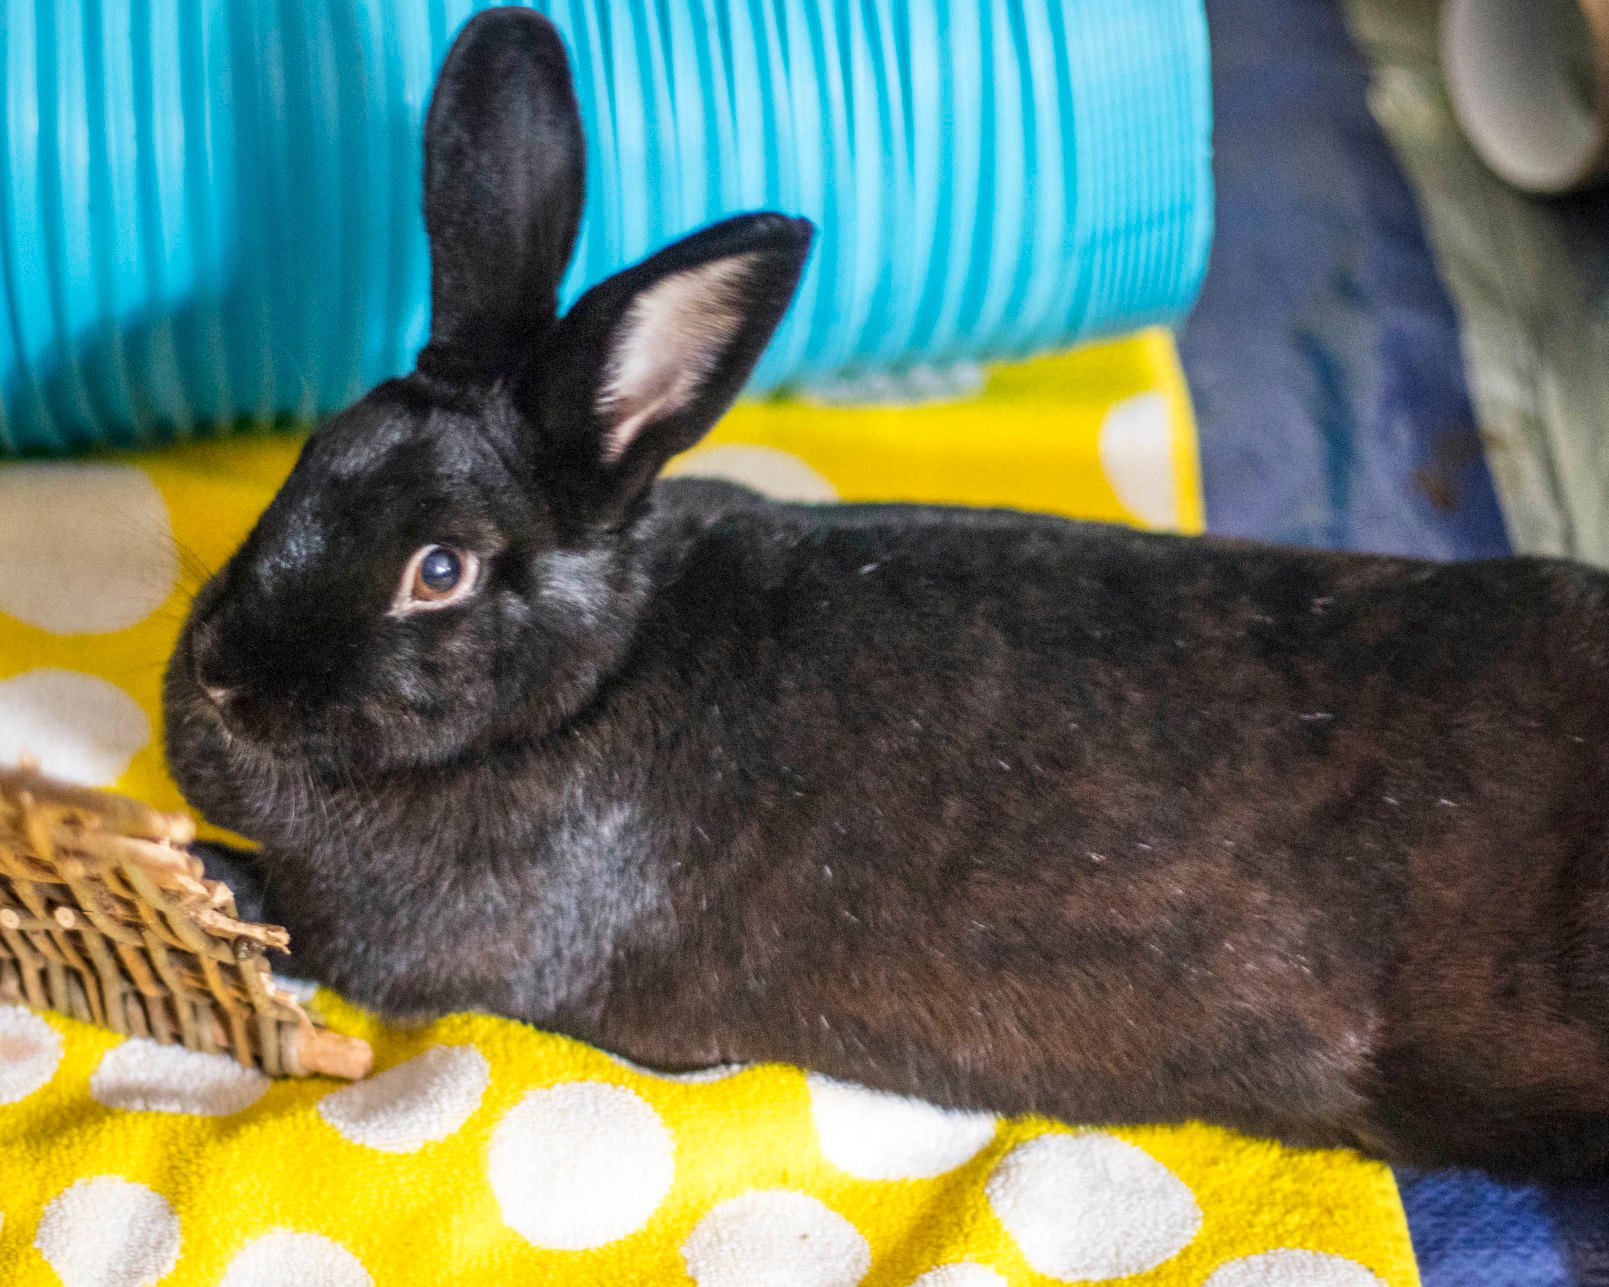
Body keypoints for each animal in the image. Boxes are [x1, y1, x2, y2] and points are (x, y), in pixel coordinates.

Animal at [166, 5, 1609, 1184]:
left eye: (441, 569)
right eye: (308, 457)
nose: (224, 679)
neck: (593, 673)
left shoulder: (400, 942)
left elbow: (296, 923)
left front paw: (194, 875)